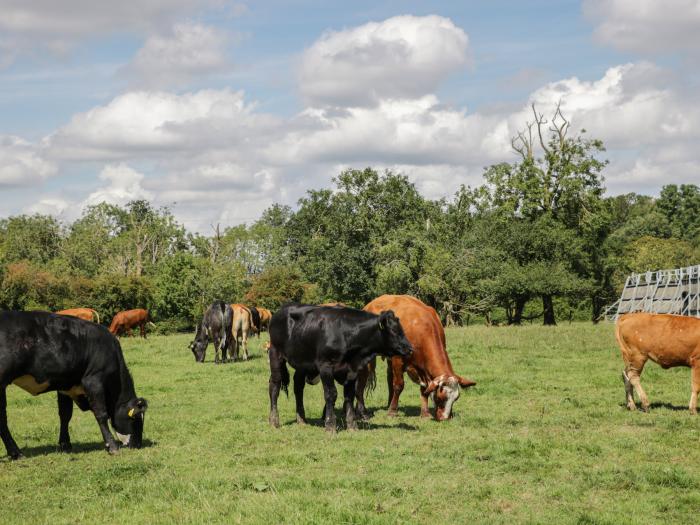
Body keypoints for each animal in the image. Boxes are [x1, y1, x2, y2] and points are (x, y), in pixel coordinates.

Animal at [0, 312, 148, 458]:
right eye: (135, 417)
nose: (138, 445)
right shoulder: (94, 381)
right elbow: (101, 414)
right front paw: (111, 446)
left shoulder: (64, 386)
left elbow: (65, 415)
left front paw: (65, 445)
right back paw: (16, 452)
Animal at [266, 302, 410, 430]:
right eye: (394, 331)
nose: (410, 348)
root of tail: (282, 309)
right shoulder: (325, 366)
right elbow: (331, 394)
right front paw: (330, 426)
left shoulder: (352, 370)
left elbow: (350, 395)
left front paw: (352, 426)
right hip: (275, 353)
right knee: (275, 385)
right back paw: (274, 421)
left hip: (302, 362)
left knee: (298, 387)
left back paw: (301, 419)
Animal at [360, 294, 476, 422]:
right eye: (441, 397)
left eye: (456, 398)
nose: (445, 418)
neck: (422, 329)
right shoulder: (398, 360)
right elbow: (398, 385)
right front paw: (392, 412)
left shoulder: (423, 370)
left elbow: (424, 390)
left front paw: (425, 413)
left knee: (389, 377)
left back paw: (390, 403)